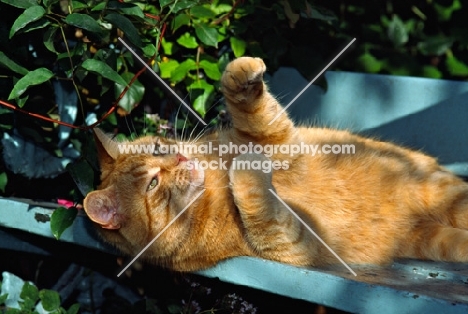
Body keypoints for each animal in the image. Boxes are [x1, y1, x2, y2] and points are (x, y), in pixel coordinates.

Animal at [83, 57, 468, 272]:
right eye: (152, 184)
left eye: (160, 147)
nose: (179, 157)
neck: (212, 186)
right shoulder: (293, 242)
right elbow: (260, 204)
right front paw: (246, 169)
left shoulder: (279, 140)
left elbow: (254, 110)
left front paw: (240, 72)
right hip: (436, 238)